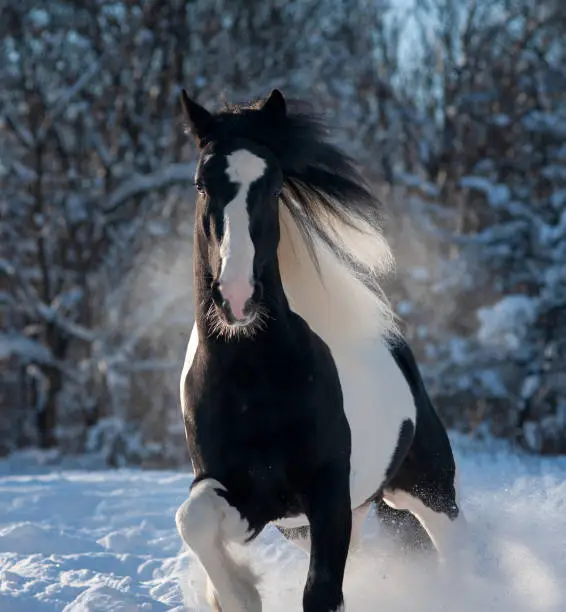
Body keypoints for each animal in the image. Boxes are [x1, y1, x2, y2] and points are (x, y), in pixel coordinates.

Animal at [175, 87, 468, 612]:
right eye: (201, 184)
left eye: (273, 187)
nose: (237, 297)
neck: (252, 379)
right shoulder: (238, 489)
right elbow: (196, 518)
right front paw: (236, 590)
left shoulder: (328, 492)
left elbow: (321, 593)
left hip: (429, 489)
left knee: (455, 548)